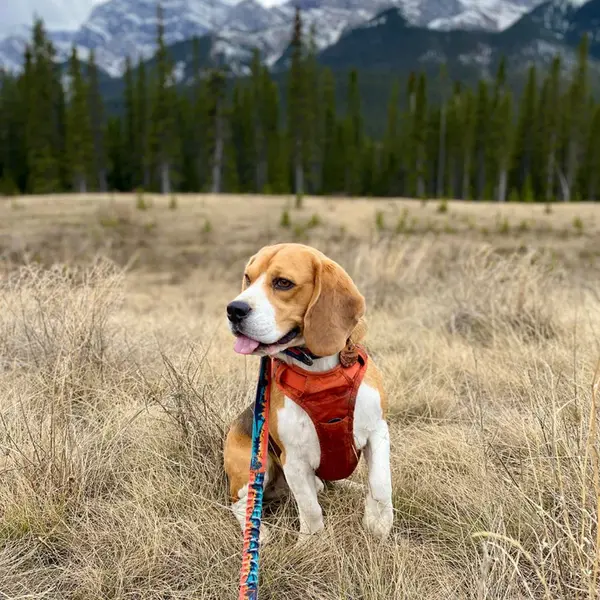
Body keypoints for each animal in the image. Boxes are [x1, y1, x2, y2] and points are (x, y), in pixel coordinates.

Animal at [221, 241, 394, 540]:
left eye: (283, 283)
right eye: (248, 278)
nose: (234, 309)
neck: (320, 371)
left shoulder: (378, 432)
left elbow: (381, 485)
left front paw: (378, 525)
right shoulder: (294, 458)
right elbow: (310, 509)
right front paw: (313, 542)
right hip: (253, 466)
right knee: (240, 502)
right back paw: (257, 532)